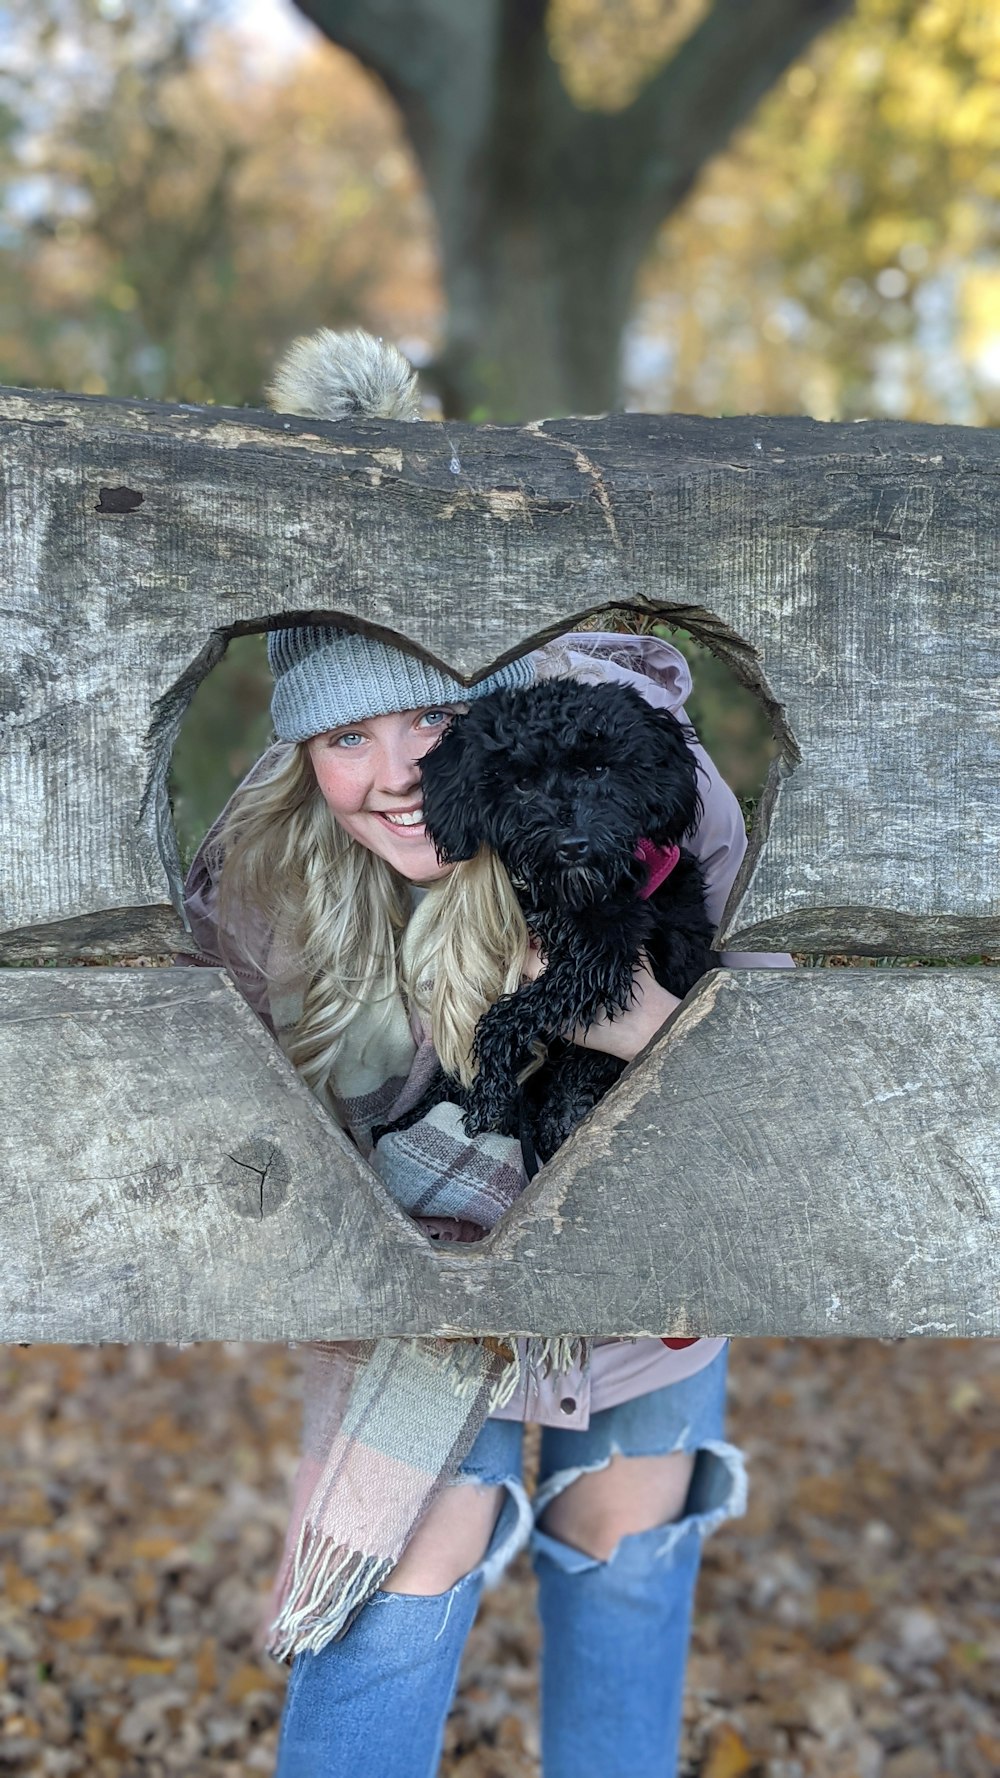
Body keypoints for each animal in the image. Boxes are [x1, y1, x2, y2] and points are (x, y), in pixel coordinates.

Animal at [370, 679, 711, 1180]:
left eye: (599, 769)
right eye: (523, 783)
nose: (574, 845)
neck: (559, 896)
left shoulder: (601, 956)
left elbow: (505, 1016)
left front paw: (489, 1088)